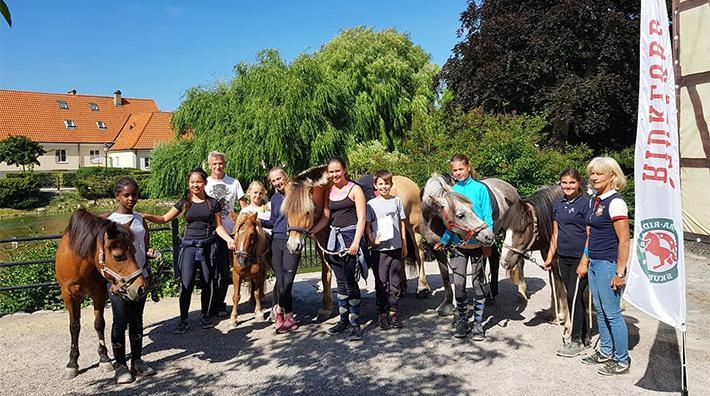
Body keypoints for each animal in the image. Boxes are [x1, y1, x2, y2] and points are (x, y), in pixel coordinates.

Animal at [56, 209, 150, 378]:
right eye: (118, 256)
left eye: (134, 251)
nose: (141, 287)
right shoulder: (69, 295)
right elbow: (74, 326)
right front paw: (72, 363)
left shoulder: (99, 294)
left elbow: (99, 324)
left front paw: (104, 358)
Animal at [282, 165, 432, 318]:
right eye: (287, 212)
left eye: (307, 212)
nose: (293, 245)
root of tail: (409, 182)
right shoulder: (323, 247)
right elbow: (325, 274)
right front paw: (327, 308)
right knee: (401, 254)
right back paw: (401, 288)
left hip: (413, 227)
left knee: (419, 254)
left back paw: (422, 288)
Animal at [420, 174, 520, 316]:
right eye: (460, 215)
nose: (486, 233)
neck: (433, 221)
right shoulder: (437, 249)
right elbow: (445, 276)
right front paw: (448, 304)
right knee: (494, 258)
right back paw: (491, 294)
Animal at [498, 184, 576, 338]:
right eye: (504, 229)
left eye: (522, 228)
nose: (504, 262)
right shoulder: (549, 257)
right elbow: (555, 284)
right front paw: (555, 314)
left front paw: (569, 323)